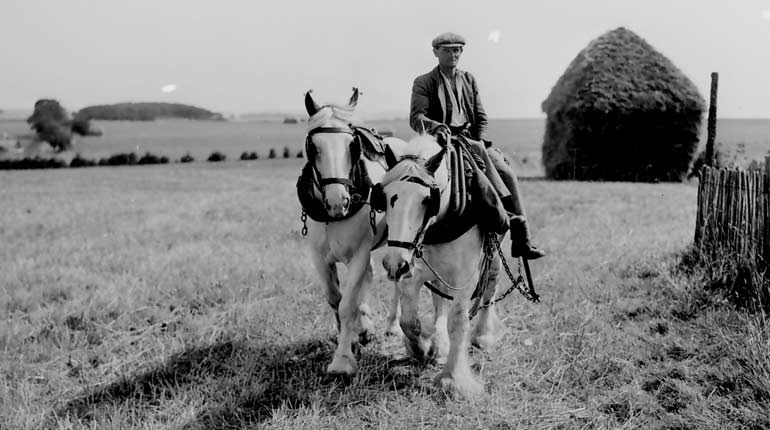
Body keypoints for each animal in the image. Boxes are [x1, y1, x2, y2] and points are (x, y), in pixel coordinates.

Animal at [298, 88, 408, 376]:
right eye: (313, 147)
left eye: (352, 145)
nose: (339, 202)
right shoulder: (318, 257)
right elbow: (335, 299)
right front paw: (351, 337)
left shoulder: (358, 252)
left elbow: (347, 304)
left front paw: (342, 360)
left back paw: (392, 325)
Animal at [374, 135, 504, 400]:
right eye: (386, 197)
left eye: (427, 200)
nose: (393, 263)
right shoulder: (411, 271)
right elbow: (409, 322)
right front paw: (422, 349)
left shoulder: (465, 278)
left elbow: (458, 323)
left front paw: (453, 380)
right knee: (439, 301)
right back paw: (439, 343)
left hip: (493, 260)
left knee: (489, 291)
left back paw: (483, 335)